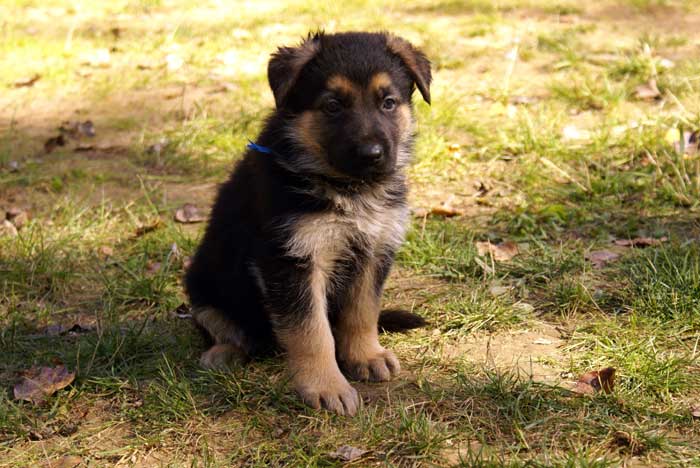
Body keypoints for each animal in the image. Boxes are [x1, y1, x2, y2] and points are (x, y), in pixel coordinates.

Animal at [183, 31, 430, 414]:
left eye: (388, 103)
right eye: (332, 106)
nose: (372, 155)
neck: (347, 189)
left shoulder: (374, 248)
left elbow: (363, 311)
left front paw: (366, 356)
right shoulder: (291, 259)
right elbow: (311, 331)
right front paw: (326, 386)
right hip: (202, 286)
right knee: (224, 327)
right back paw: (224, 353)